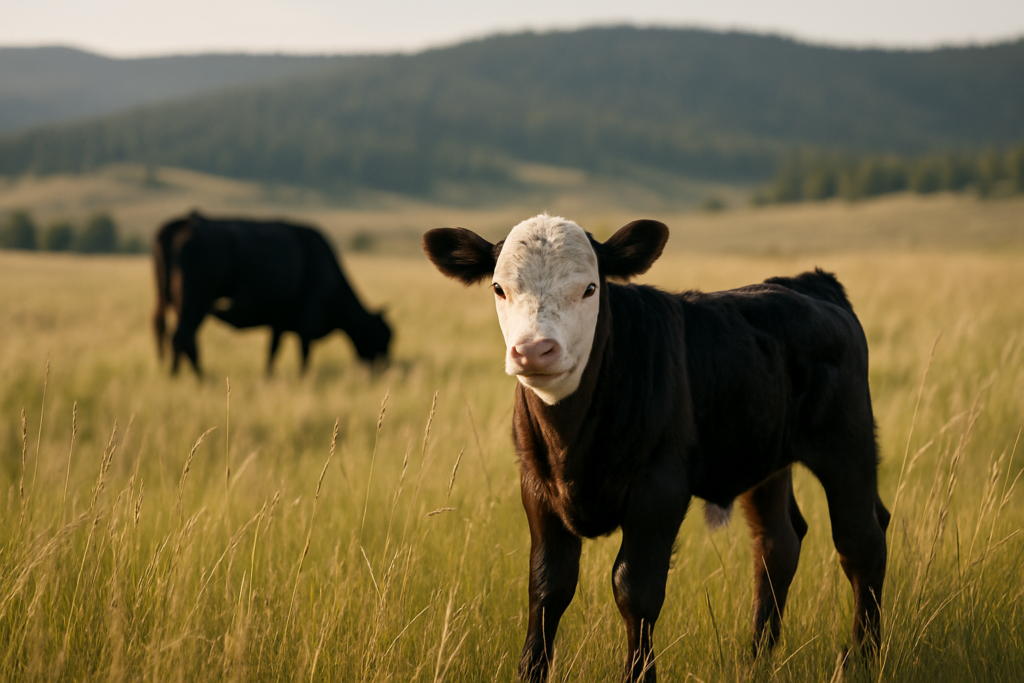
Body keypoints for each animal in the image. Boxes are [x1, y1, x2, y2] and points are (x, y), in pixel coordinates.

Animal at [153, 211, 391, 376]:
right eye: (384, 337)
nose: (384, 370)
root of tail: (185, 222)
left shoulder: (279, 323)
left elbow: (273, 351)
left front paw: (268, 377)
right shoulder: (307, 323)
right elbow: (304, 354)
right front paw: (303, 378)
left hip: (172, 303)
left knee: (173, 333)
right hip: (195, 304)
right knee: (182, 337)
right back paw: (197, 378)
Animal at [422, 214, 889, 683]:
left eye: (590, 288)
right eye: (499, 288)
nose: (535, 350)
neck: (570, 443)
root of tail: (812, 283)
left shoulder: (659, 488)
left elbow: (635, 589)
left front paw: (638, 674)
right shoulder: (537, 487)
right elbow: (548, 586)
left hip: (848, 444)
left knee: (860, 541)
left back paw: (865, 656)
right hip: (766, 459)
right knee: (777, 544)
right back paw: (756, 657)